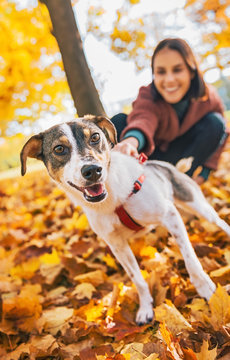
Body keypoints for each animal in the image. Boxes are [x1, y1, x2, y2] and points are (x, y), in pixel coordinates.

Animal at [19, 116, 230, 324]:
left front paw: (204, 287)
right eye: (59, 149)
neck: (112, 200)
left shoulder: (170, 216)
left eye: (95, 137)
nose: (92, 170)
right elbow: (136, 278)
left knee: (220, 222)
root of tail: (166, 165)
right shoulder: (117, 245)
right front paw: (145, 308)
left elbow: (190, 259)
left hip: (199, 206)